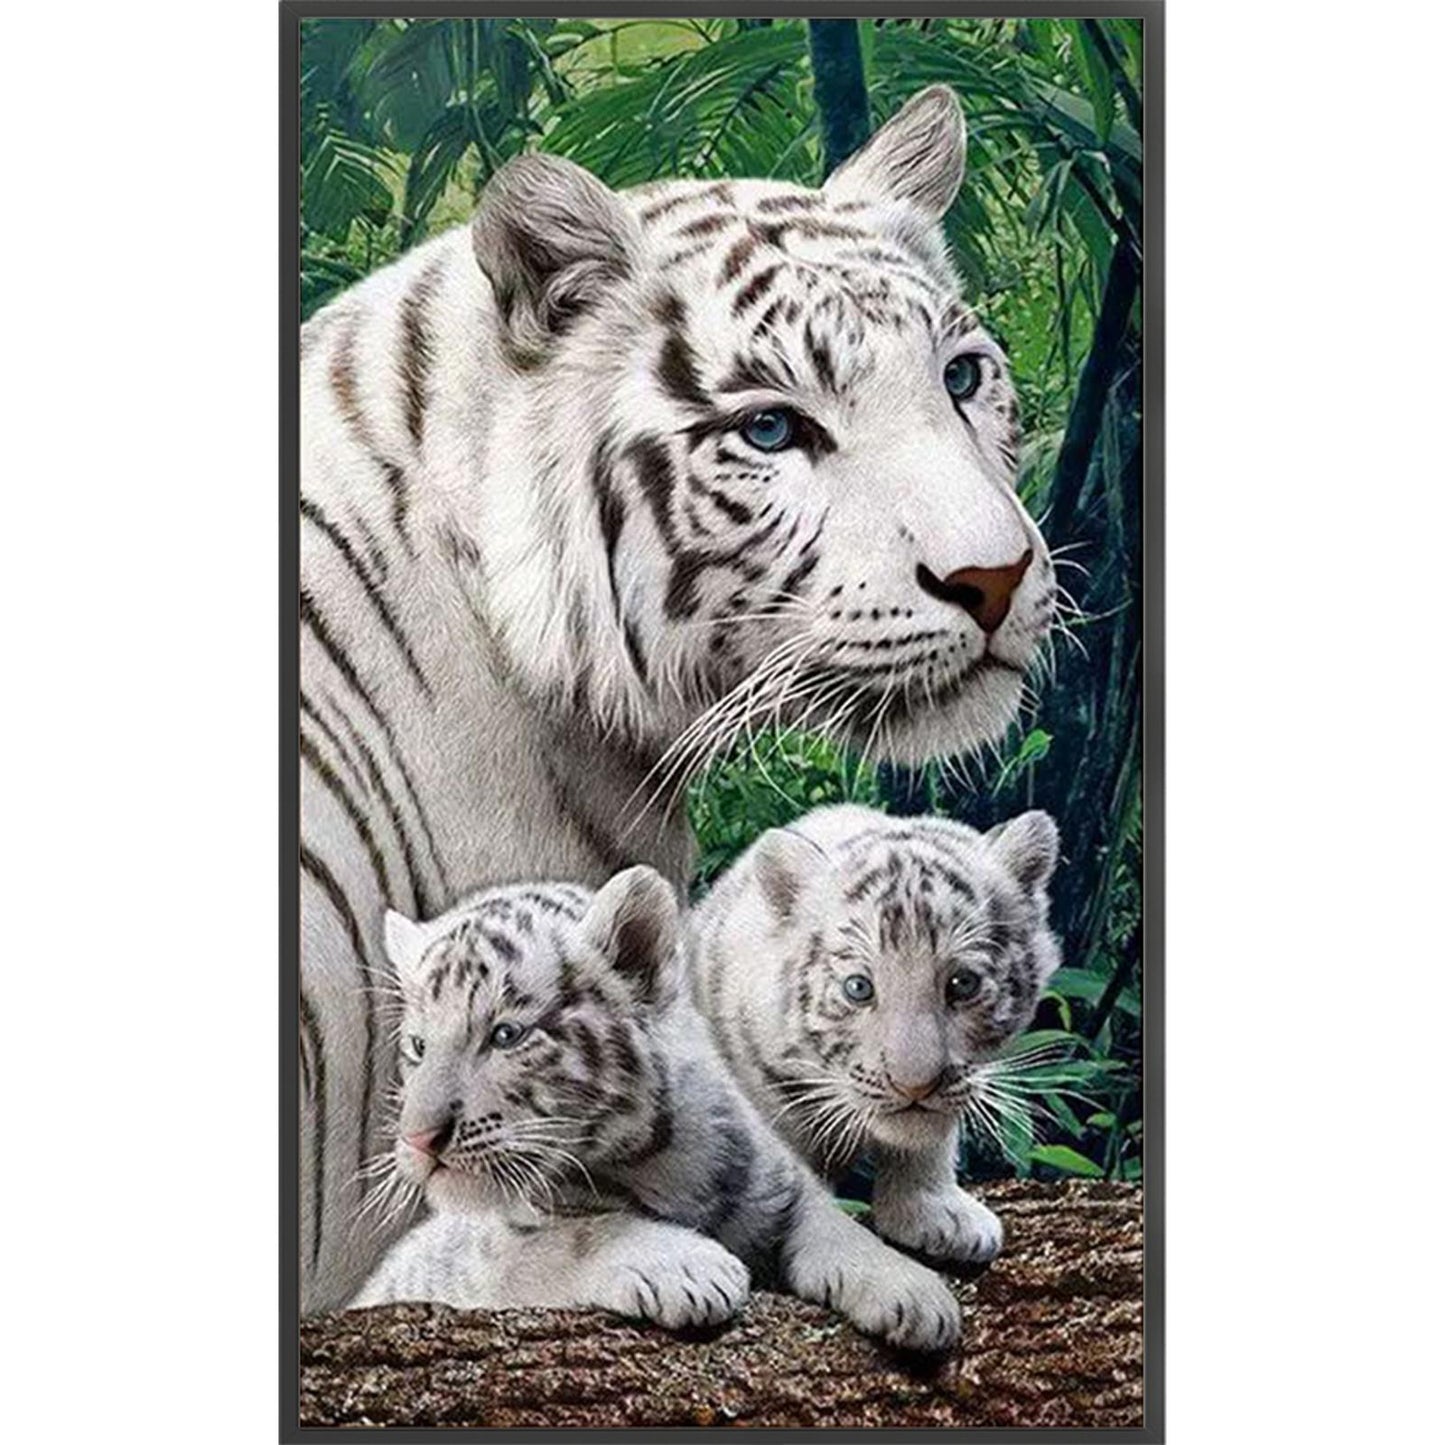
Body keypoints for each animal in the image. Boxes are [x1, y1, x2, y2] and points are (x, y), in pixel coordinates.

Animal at [350, 869, 962, 1353]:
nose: (418, 1138)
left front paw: (917, 1296)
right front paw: (692, 1268)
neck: (655, 1159)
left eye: (506, 1035)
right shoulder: (479, 1259)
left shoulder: (781, 1184)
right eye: (418, 1047)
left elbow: (837, 1226)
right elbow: (572, 1237)